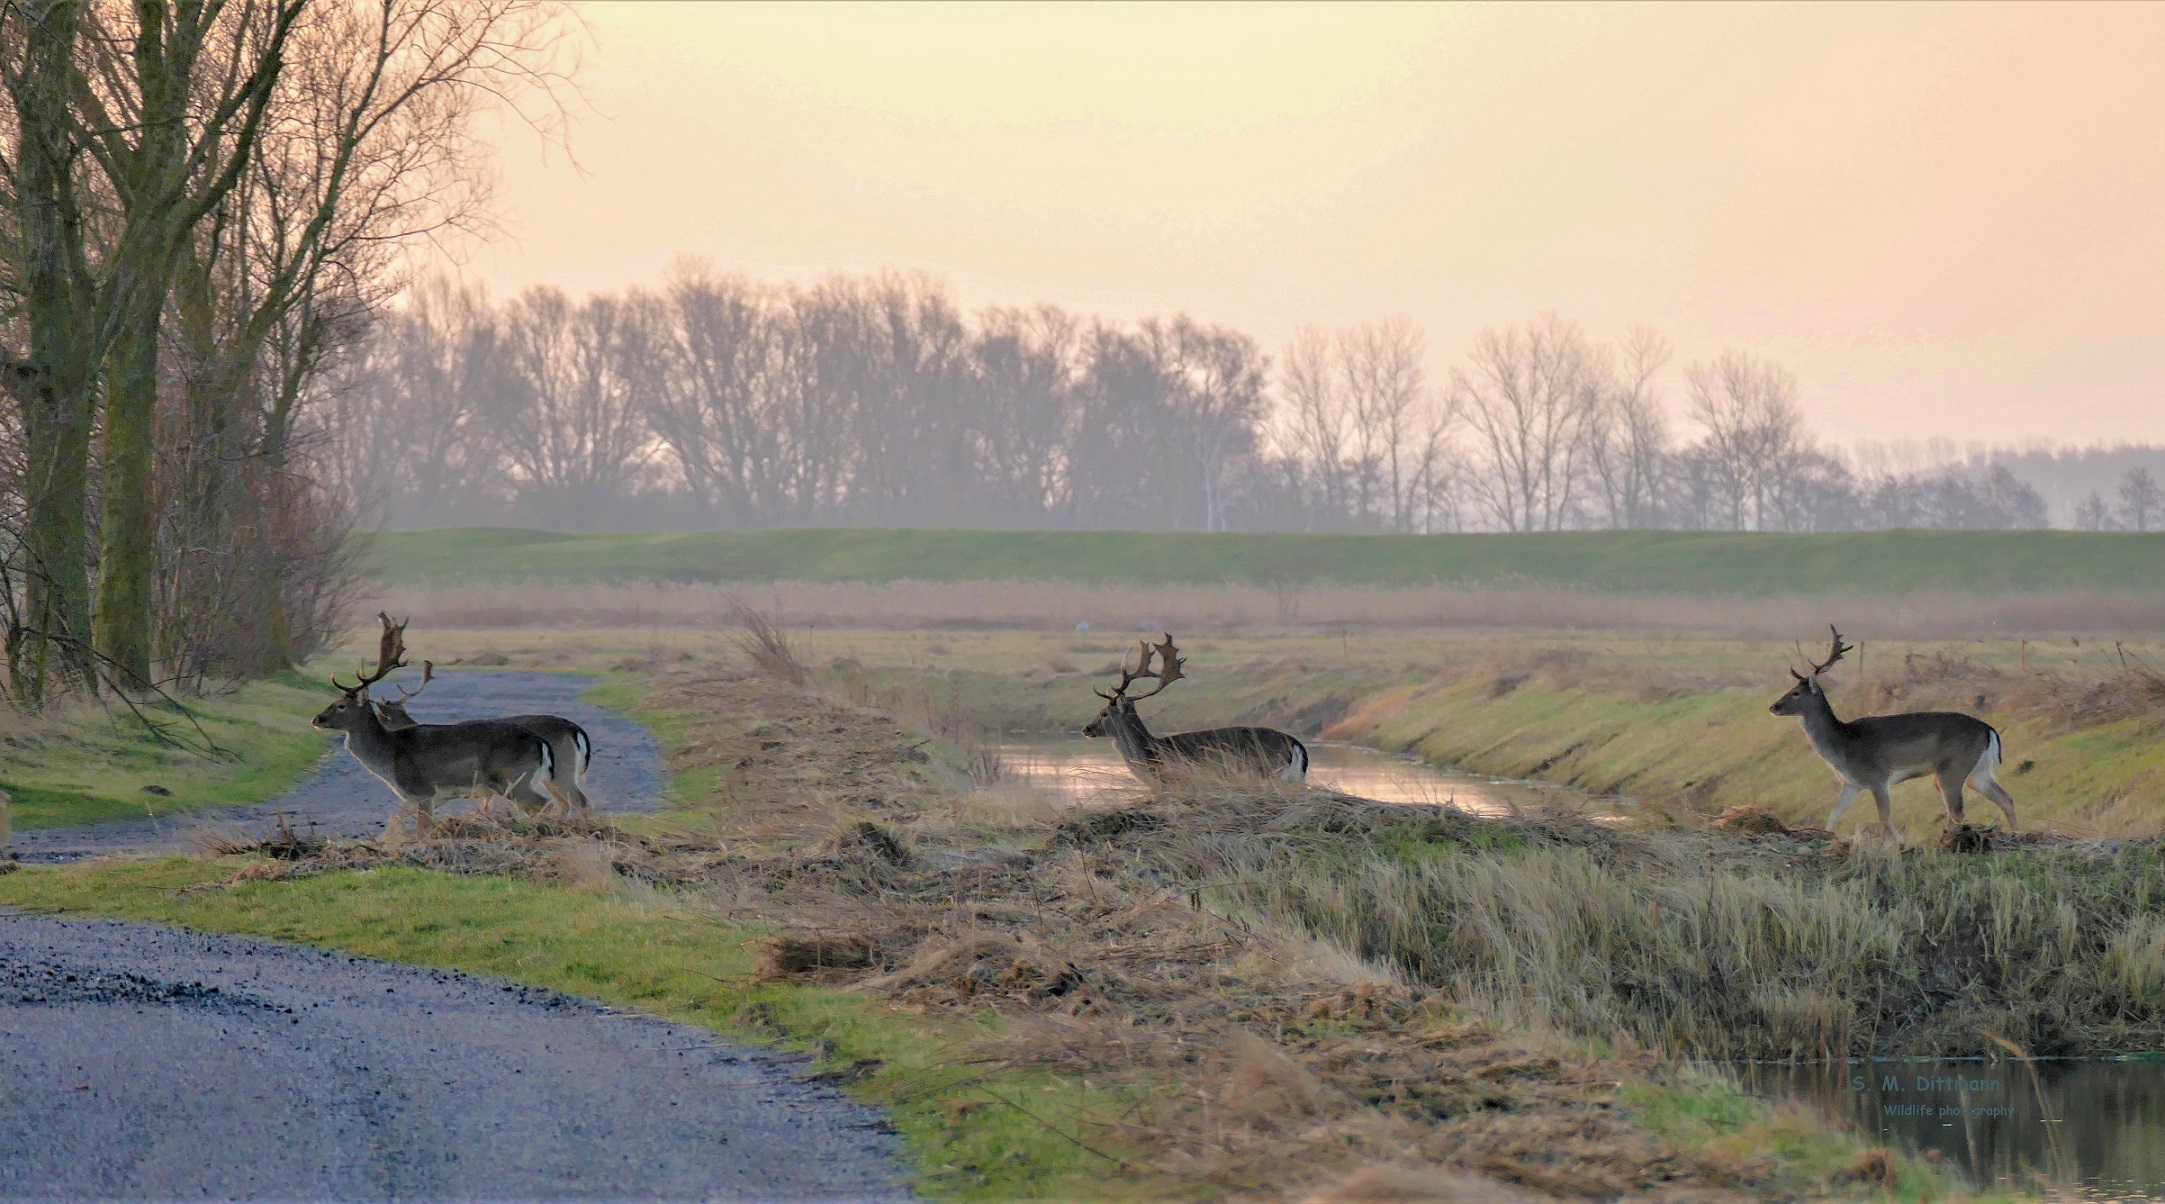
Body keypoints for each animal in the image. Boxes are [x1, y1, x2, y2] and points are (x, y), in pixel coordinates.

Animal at [309, 610, 588, 827]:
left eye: (341, 705)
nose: (317, 719)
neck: (389, 757)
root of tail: (541, 741)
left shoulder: (422, 792)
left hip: (515, 777)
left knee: (551, 803)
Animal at [1091, 632, 1307, 788]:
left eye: (1104, 713)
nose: (1087, 729)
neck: (1151, 754)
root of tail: (1296, 745)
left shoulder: (1177, 781)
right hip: (1293, 780)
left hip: (1266, 772)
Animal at [1766, 632, 2017, 844]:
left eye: (1796, 693)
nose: (1773, 707)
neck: (1843, 745)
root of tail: (1988, 729)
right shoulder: (1851, 783)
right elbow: (1833, 814)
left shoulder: (1878, 777)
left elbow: (1884, 818)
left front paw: (1899, 841)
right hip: (1977, 770)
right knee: (2005, 798)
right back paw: (2015, 833)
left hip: (1952, 767)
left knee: (1957, 810)